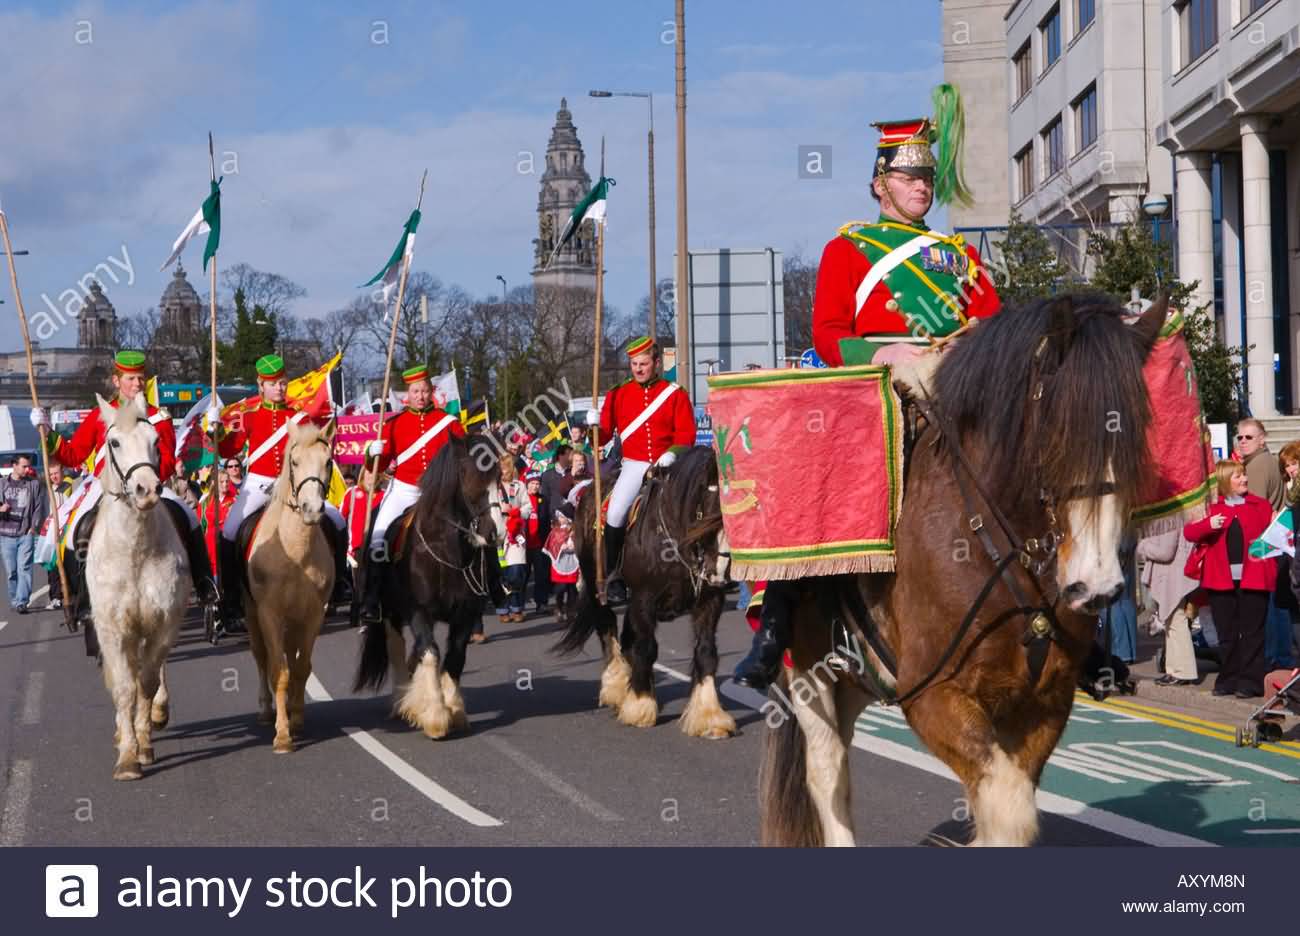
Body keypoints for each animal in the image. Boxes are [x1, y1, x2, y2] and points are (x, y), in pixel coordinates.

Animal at [86, 390, 191, 780]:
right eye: (113, 442)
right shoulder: (112, 629)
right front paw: (128, 756)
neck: (134, 551)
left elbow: (146, 683)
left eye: (156, 440)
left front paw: (143, 744)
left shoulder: (164, 623)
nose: (146, 490)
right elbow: (124, 687)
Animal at [241, 421, 335, 748]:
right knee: (260, 656)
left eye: (328, 461)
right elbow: (278, 671)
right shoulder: (269, 613)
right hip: (253, 614)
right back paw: (265, 710)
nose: (312, 509)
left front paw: (296, 719)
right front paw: (282, 734)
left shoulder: (314, 613)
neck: (295, 551)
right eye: (294, 462)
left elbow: (301, 667)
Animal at [356, 436, 506, 738]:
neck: (446, 549)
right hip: (389, 613)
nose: (495, 533)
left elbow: (454, 658)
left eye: (499, 475)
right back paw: (401, 702)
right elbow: (430, 653)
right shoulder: (419, 612)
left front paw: (455, 711)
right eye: (467, 475)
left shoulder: (465, 615)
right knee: (398, 649)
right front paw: (436, 716)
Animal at [553, 447, 738, 738]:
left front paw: (709, 716)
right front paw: (640, 706)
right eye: (707, 513)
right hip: (598, 587)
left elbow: (706, 651)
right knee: (608, 628)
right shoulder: (644, 599)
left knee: (627, 638)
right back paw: (617, 688)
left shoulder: (709, 600)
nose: (720, 574)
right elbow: (647, 648)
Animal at [759, 293, 1170, 847]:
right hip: (808, 669)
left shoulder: (1044, 703)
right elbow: (1007, 806)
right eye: (1060, 426)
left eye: (1138, 427)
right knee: (827, 772)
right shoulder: (932, 695)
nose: (1098, 587)